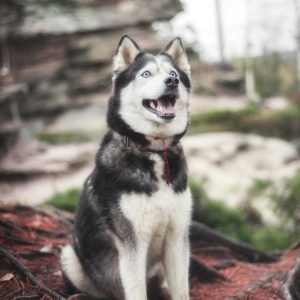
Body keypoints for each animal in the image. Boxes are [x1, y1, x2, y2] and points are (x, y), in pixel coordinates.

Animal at [61, 35, 192, 300]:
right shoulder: (132, 243)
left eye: (173, 73)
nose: (171, 81)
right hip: (70, 257)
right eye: (146, 74)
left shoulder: (177, 237)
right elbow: (136, 290)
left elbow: (182, 290)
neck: (154, 152)